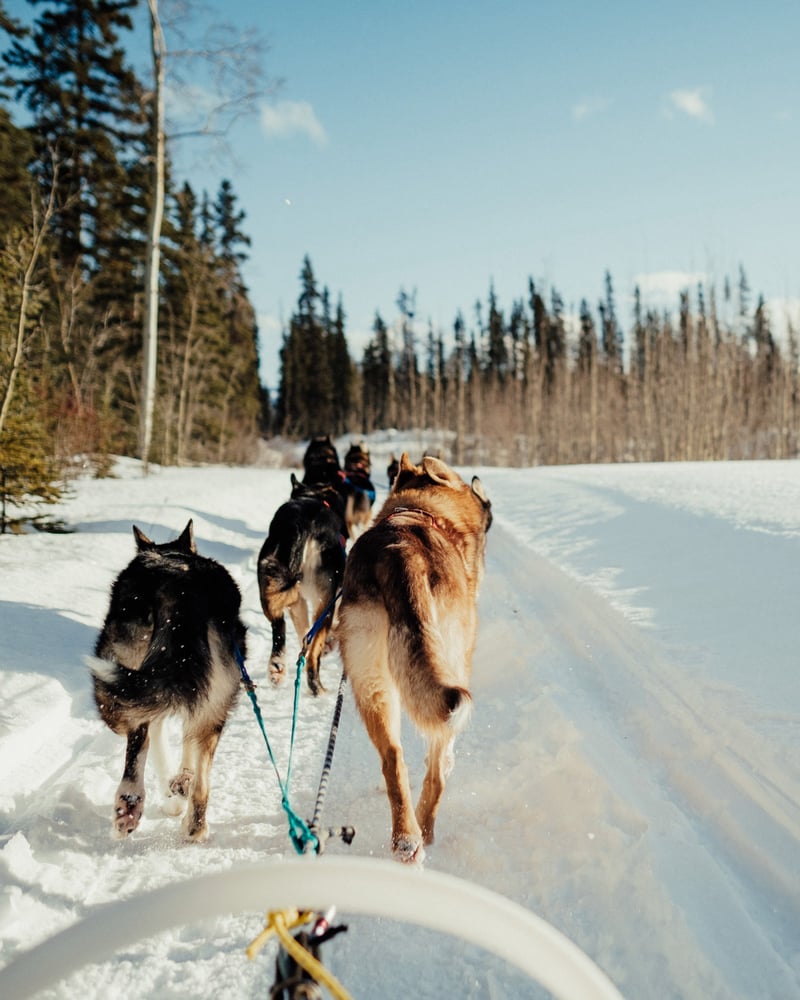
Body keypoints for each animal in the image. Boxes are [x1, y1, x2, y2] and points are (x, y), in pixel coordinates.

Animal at [89, 524, 245, 844]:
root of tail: (181, 585)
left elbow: (157, 743)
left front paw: (173, 796)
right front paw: (180, 786)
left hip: (113, 685)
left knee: (138, 738)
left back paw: (131, 804)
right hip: (214, 700)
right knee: (202, 783)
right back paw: (192, 824)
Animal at [256, 476, 344, 696]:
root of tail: (303, 525)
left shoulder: (298, 602)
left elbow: (303, 631)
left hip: (271, 584)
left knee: (279, 627)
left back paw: (277, 668)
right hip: (326, 602)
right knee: (313, 653)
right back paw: (317, 688)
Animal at [336, 452, 490, 860]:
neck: (421, 512)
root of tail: (401, 553)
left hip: (371, 682)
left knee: (393, 757)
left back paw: (406, 839)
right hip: (449, 674)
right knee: (437, 768)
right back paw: (425, 828)